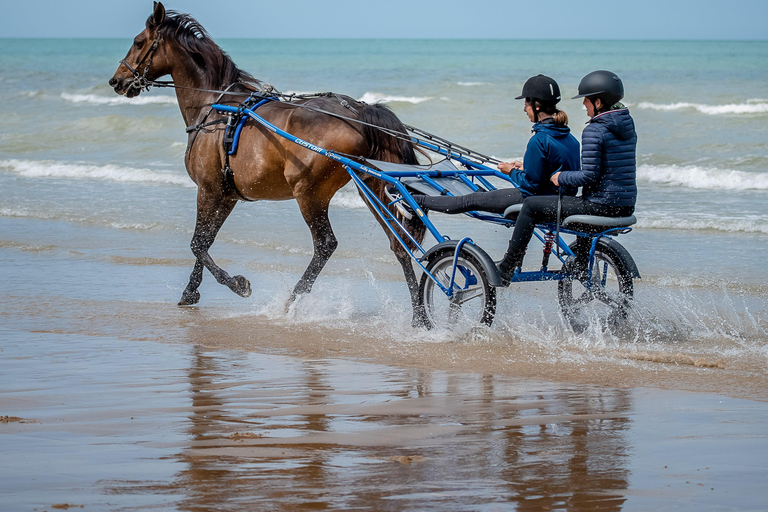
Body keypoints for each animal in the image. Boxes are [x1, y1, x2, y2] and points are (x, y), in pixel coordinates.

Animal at [109, 1, 428, 324]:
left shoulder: (208, 189)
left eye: (138, 42)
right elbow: (206, 240)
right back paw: (418, 316)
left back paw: (291, 301)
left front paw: (237, 284)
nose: (116, 81)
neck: (215, 108)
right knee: (399, 243)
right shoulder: (226, 195)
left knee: (326, 245)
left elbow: (197, 242)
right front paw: (190, 291)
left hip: (309, 194)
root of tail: (358, 113)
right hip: (372, 187)